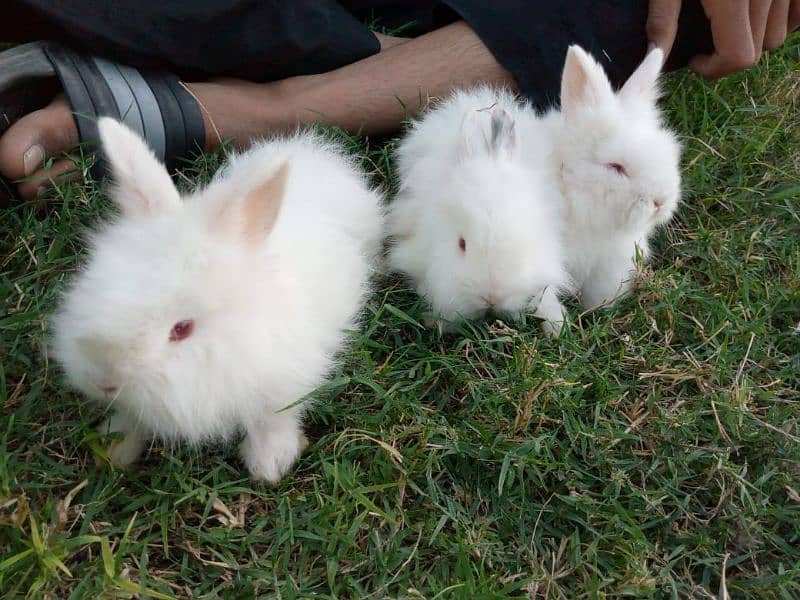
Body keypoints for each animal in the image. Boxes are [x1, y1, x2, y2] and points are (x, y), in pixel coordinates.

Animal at [51, 117, 386, 482]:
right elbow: (133, 419)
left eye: (182, 329)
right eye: (90, 289)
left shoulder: (282, 384)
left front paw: (270, 465)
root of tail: (318, 156)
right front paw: (115, 448)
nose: (105, 383)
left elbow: (272, 421)